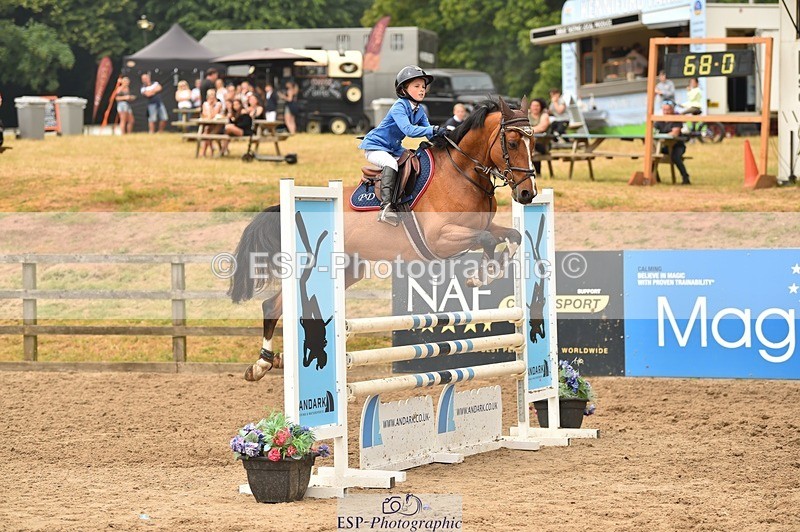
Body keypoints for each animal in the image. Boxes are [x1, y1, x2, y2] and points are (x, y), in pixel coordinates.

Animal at [229, 98, 538, 381]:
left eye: (533, 144)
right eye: (512, 143)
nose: (528, 194)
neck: (462, 173)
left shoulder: (479, 228)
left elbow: (511, 236)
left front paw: (490, 272)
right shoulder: (439, 238)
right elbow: (487, 240)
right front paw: (479, 276)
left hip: (349, 269)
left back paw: (273, 361)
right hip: (313, 267)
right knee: (273, 305)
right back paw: (261, 364)